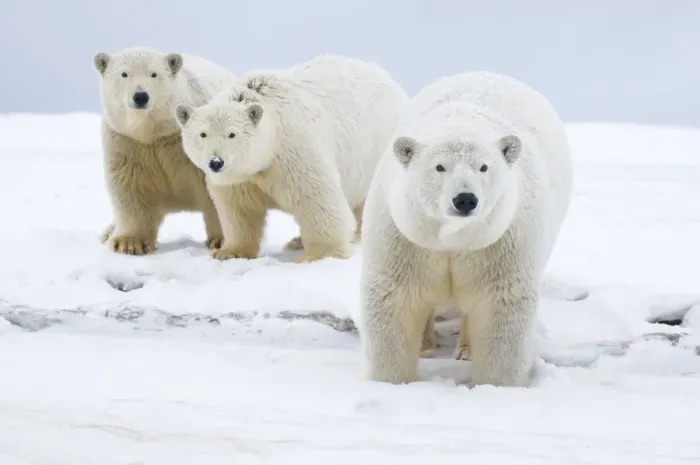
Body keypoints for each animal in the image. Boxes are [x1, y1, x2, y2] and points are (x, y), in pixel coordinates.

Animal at [93, 46, 236, 255]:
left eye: (154, 74)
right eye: (124, 74)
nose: (141, 96)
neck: (154, 132)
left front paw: (222, 240)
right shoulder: (127, 142)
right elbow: (131, 187)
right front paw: (128, 243)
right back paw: (107, 232)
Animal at [174, 55, 409, 262]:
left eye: (232, 134)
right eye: (203, 134)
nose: (216, 162)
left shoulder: (293, 151)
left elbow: (317, 200)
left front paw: (319, 256)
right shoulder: (241, 178)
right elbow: (238, 210)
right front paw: (228, 252)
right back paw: (297, 241)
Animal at [359, 71, 574, 387]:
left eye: (484, 167)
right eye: (439, 167)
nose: (465, 199)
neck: (453, 239)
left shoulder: (500, 240)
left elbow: (500, 303)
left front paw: (496, 385)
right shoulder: (405, 236)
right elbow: (397, 296)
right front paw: (393, 381)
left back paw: (467, 349)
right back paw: (425, 346)